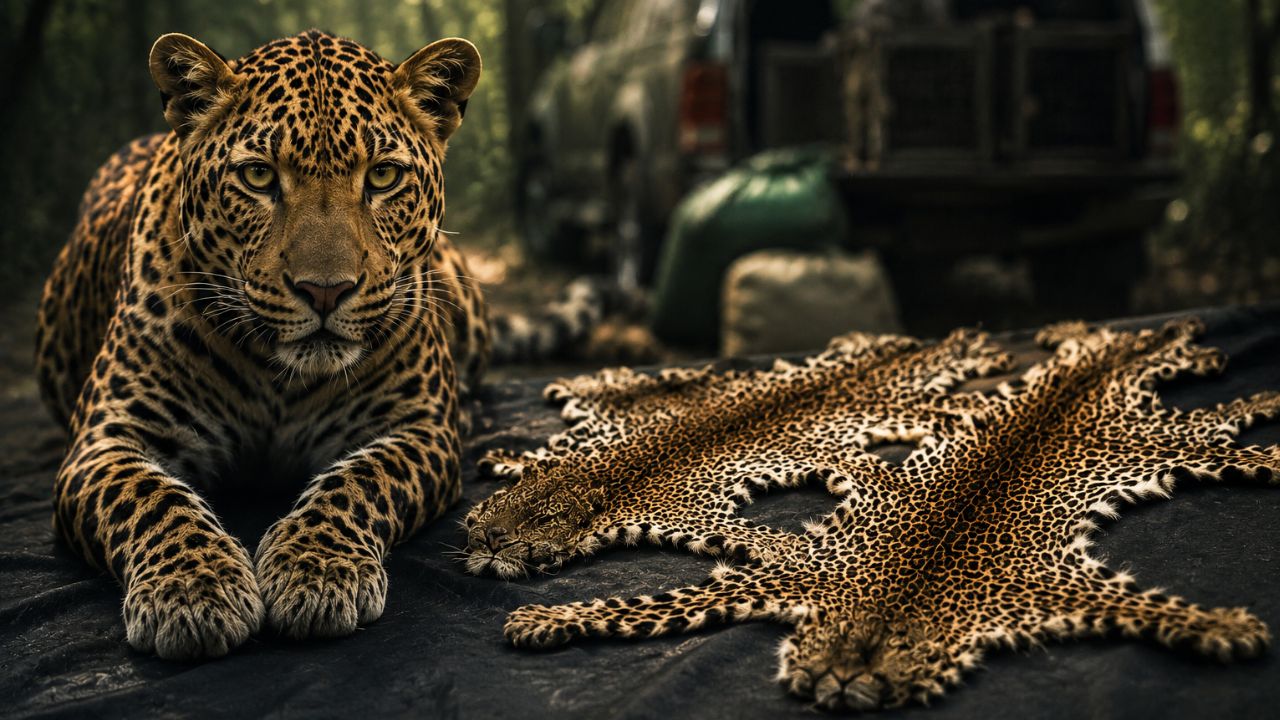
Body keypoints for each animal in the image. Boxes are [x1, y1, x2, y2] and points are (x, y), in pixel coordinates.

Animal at [33, 29, 599, 661]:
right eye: (258, 177)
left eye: (383, 177)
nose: (324, 290)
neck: (277, 378)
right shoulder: (104, 441)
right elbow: (150, 499)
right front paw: (193, 588)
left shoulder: (417, 428)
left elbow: (360, 481)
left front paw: (315, 569)